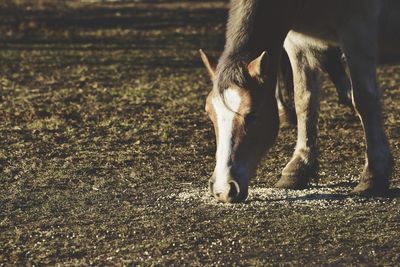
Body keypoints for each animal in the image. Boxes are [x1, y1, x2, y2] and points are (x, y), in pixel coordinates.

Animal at [202, 0, 398, 204]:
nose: (223, 189)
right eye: (209, 113)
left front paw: (373, 175)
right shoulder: (298, 43)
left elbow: (364, 101)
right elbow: (304, 102)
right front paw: (298, 168)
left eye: (252, 113)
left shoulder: (357, 34)